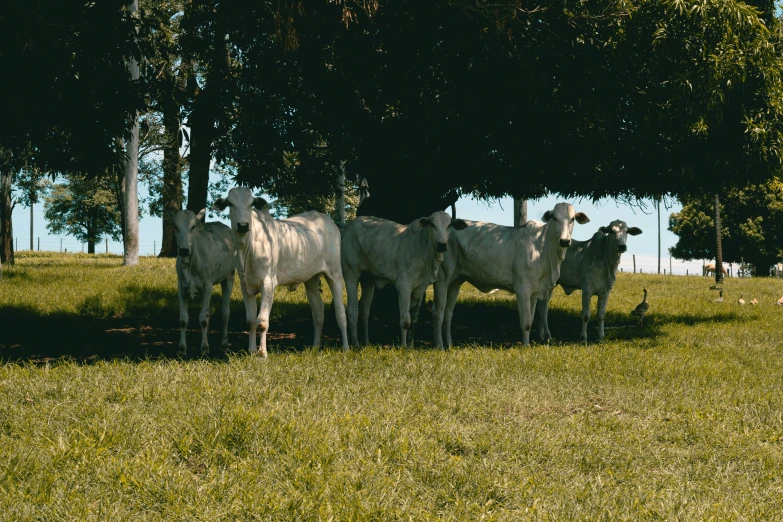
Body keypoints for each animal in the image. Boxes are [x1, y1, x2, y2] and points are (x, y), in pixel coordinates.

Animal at [175, 209, 239, 356]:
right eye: (176, 227)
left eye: (193, 226)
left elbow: (203, 319)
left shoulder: (207, 285)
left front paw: (204, 348)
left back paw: (224, 343)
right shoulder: (181, 287)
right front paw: (182, 349)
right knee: (209, 311)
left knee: (225, 312)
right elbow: (183, 320)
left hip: (229, 277)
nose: (183, 250)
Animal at [213, 188, 350, 358]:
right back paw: (315, 346)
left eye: (251, 204)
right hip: (311, 278)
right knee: (318, 311)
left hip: (334, 273)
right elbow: (251, 321)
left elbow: (262, 322)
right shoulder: (246, 286)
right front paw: (251, 351)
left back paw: (346, 348)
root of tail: (327, 221)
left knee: (340, 312)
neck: (247, 249)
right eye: (230, 203)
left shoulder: (268, 284)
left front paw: (262, 353)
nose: (243, 225)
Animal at [342, 209, 466, 348]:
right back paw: (356, 343)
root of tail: (350, 225)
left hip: (368, 280)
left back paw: (366, 342)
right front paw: (403, 346)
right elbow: (406, 320)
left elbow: (415, 319)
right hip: (351, 274)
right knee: (352, 309)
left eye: (449, 225)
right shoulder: (404, 286)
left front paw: (411, 345)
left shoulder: (420, 288)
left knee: (364, 310)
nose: (442, 245)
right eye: (432, 225)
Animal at [432, 202, 592, 346]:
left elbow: (531, 319)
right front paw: (526, 346)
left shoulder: (534, 293)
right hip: (442, 279)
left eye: (572, 219)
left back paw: (449, 343)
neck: (544, 247)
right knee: (438, 312)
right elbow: (526, 322)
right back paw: (439, 345)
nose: (564, 241)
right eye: (555, 218)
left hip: (456, 281)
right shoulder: (522, 289)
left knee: (448, 313)